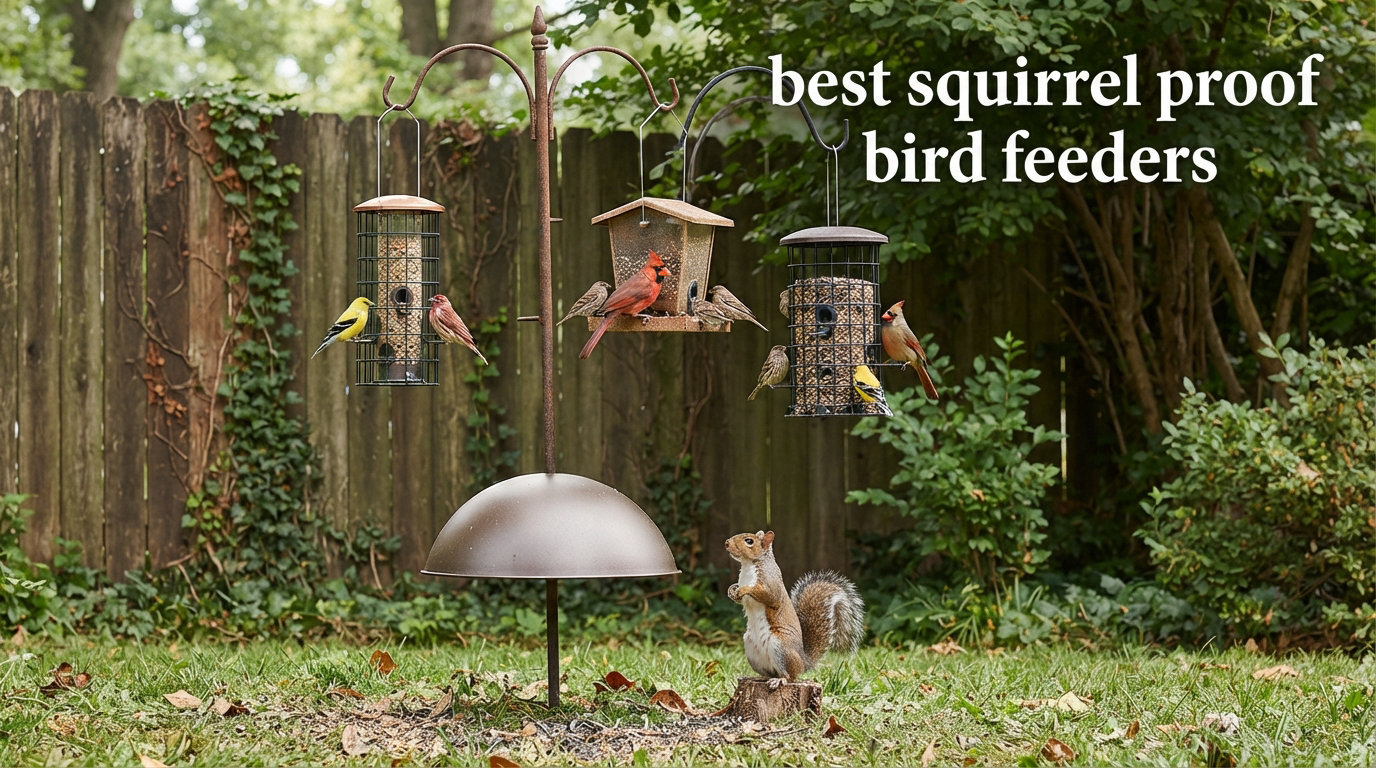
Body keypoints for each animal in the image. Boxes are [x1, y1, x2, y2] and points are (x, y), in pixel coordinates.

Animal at [725, 530, 865, 685]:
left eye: (749, 541)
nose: (727, 543)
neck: (749, 566)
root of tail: (803, 662)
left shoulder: (770, 582)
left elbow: (768, 595)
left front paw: (744, 589)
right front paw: (732, 590)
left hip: (781, 647)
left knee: (790, 676)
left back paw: (779, 680)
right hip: (751, 649)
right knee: (771, 672)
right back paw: (760, 677)